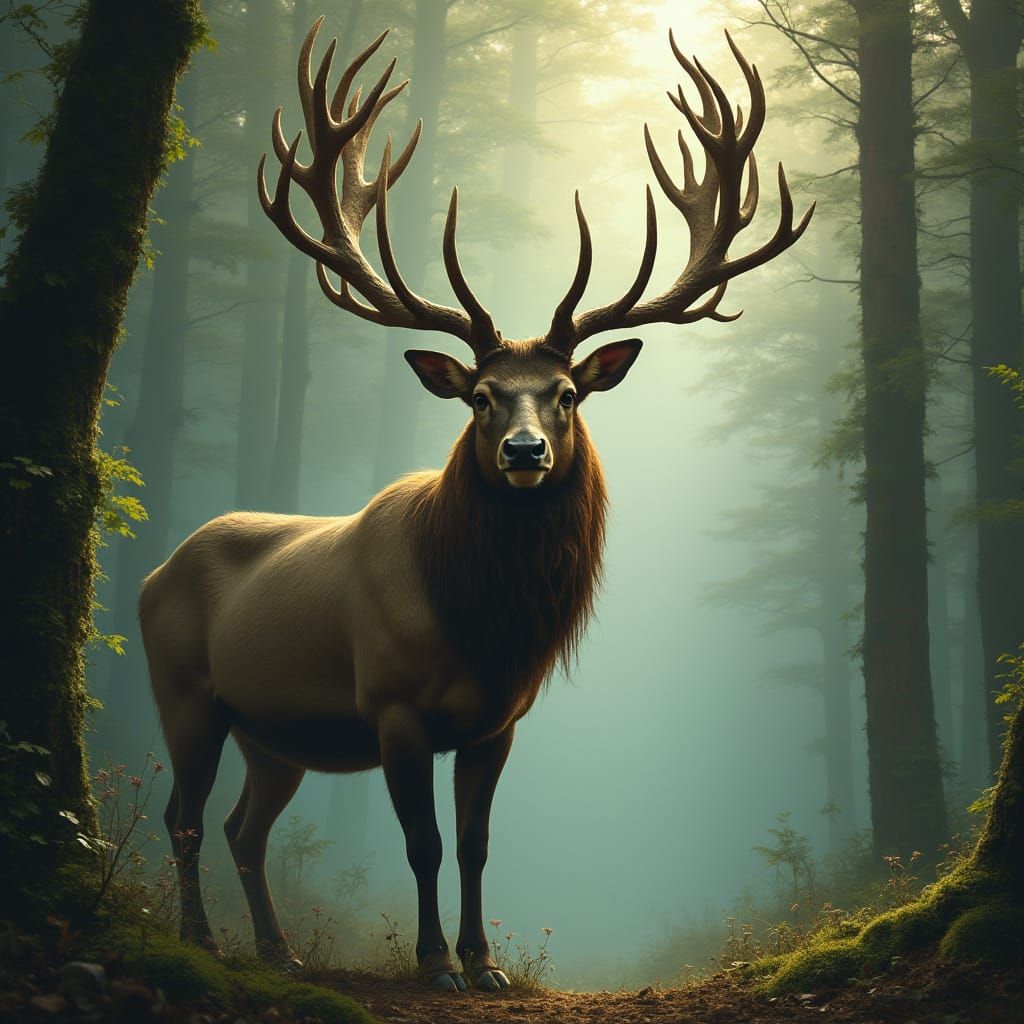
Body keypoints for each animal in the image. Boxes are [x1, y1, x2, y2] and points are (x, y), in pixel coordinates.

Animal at [140, 18, 812, 991]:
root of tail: (153, 571)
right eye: (482, 397)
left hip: (275, 731)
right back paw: (199, 939)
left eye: (567, 393)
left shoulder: (498, 720)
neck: (482, 623)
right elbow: (420, 844)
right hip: (185, 689)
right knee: (184, 816)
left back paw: (279, 949)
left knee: (243, 827)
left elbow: (476, 844)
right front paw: (433, 963)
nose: (524, 453)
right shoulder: (392, 704)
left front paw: (485, 961)